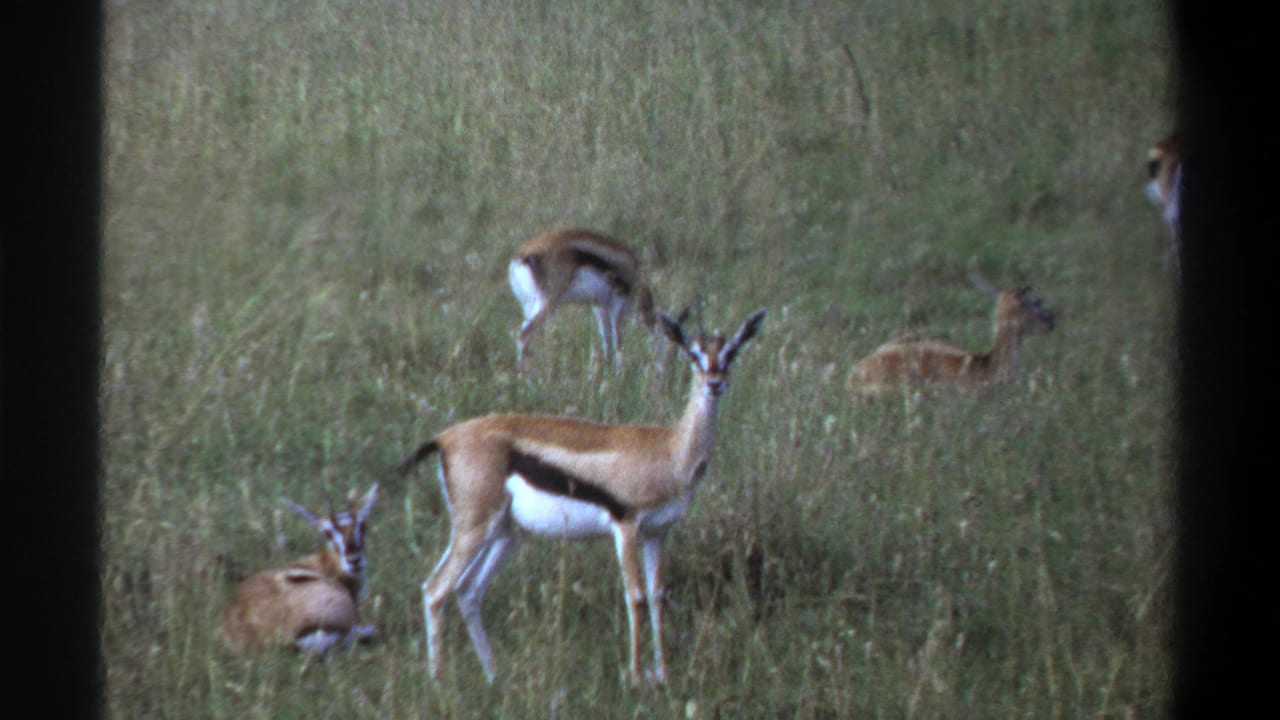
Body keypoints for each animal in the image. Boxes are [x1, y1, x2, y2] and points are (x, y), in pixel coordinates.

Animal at [397, 308, 767, 686]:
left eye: (731, 352)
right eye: (694, 354)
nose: (715, 383)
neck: (669, 450)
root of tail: (445, 437)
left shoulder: (658, 533)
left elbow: (657, 596)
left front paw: (663, 674)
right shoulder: (626, 526)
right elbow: (636, 597)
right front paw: (636, 678)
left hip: (508, 534)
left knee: (468, 592)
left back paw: (493, 675)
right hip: (474, 528)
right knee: (435, 589)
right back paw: (440, 682)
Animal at [508, 228, 662, 375]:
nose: (661, 371)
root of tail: (523, 255)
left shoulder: (600, 307)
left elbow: (607, 341)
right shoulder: (616, 306)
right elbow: (618, 341)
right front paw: (619, 374)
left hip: (529, 305)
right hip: (547, 304)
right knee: (524, 335)